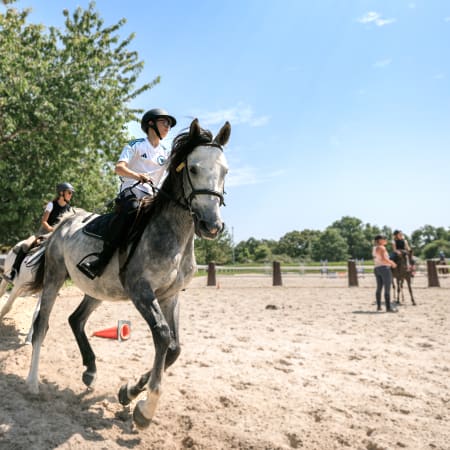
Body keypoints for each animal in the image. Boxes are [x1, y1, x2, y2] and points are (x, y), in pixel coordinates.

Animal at [23, 119, 230, 428]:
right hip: (54, 278)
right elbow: (162, 336)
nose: (211, 226)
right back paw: (33, 384)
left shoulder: (170, 297)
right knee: (42, 325)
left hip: (97, 290)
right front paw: (146, 408)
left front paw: (129, 392)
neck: (173, 234)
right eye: (193, 168)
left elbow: (175, 347)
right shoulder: (141, 290)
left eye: (225, 171)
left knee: (76, 319)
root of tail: (64, 222)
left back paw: (90, 371)